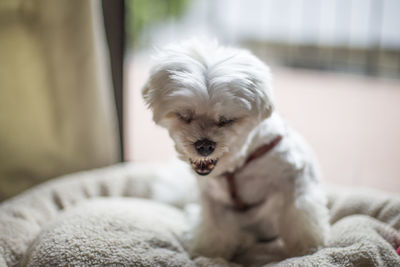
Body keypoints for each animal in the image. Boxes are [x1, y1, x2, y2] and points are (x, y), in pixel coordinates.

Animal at [142, 39, 330, 266]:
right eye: (184, 116)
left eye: (227, 120)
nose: (204, 145)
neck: (238, 165)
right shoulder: (212, 200)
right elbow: (214, 230)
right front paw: (210, 254)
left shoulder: (296, 178)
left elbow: (301, 215)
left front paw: (308, 249)